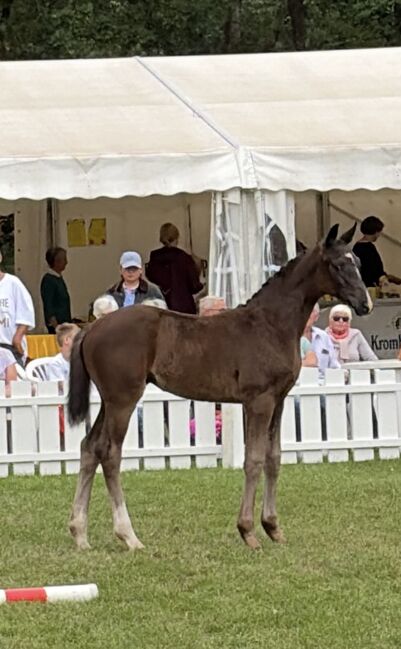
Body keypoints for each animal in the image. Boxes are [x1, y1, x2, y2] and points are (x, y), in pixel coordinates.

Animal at [67, 223, 371, 551]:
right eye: (338, 265)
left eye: (358, 262)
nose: (365, 304)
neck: (270, 324)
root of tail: (91, 328)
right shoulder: (259, 401)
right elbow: (253, 459)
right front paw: (248, 531)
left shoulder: (278, 400)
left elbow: (274, 459)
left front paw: (273, 527)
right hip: (123, 400)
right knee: (109, 453)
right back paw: (128, 535)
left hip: (109, 401)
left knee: (89, 447)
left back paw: (80, 533)